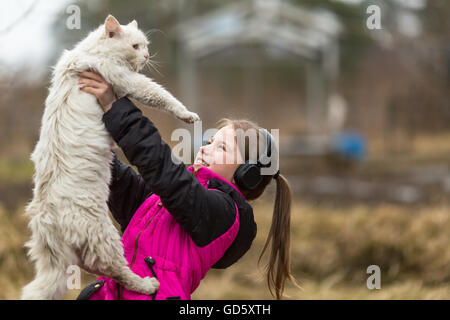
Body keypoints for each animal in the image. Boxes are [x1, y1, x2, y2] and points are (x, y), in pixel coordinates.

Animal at [21, 15, 199, 300]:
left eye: (145, 46)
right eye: (136, 46)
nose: (146, 56)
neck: (91, 50)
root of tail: (47, 220)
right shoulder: (127, 80)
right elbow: (162, 96)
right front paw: (188, 115)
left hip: (61, 258)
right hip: (105, 237)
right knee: (116, 271)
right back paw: (148, 284)